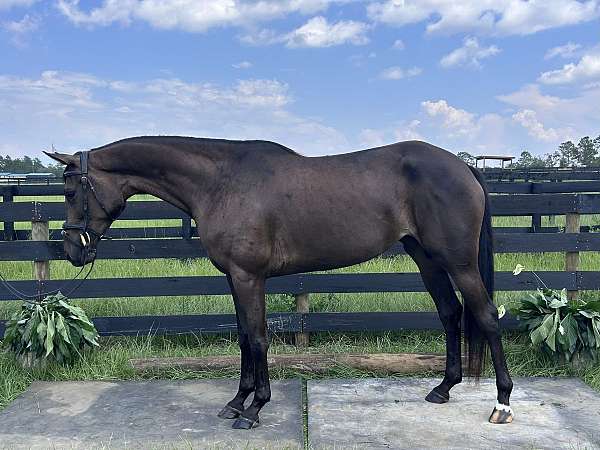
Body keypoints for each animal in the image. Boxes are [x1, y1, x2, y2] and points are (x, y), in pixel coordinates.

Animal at [47, 136, 512, 428]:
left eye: (69, 193)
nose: (71, 250)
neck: (221, 182)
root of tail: (462, 166)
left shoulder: (249, 277)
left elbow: (257, 338)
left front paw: (254, 409)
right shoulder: (234, 279)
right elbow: (241, 338)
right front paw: (236, 402)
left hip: (458, 263)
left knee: (486, 315)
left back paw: (502, 403)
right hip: (427, 259)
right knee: (450, 313)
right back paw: (443, 389)